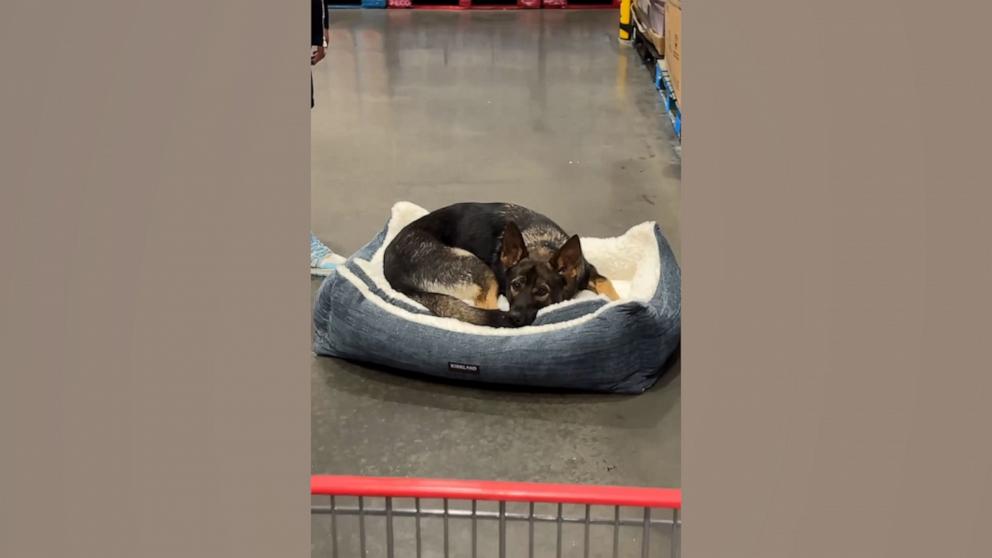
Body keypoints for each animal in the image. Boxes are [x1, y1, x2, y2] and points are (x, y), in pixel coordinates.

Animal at [384, 205, 616, 328]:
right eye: (515, 285)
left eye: (542, 291)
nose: (513, 318)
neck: (542, 244)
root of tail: (391, 271)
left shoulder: (589, 271)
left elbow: (607, 283)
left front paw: (617, 301)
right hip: (480, 269)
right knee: (484, 306)